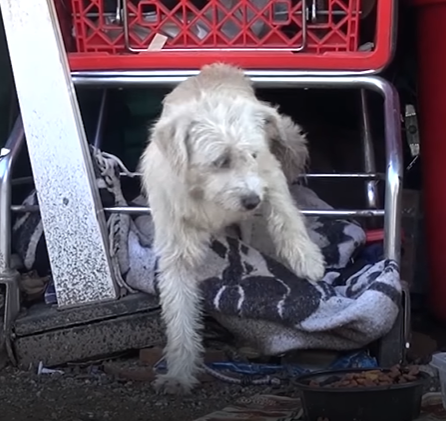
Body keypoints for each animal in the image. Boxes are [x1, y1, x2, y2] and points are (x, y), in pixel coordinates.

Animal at [139, 62, 324, 394]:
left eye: (251, 154)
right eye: (220, 161)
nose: (251, 201)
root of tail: (216, 66)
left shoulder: (268, 174)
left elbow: (286, 216)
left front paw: (308, 260)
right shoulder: (176, 250)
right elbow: (179, 314)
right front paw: (178, 374)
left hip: (288, 141)